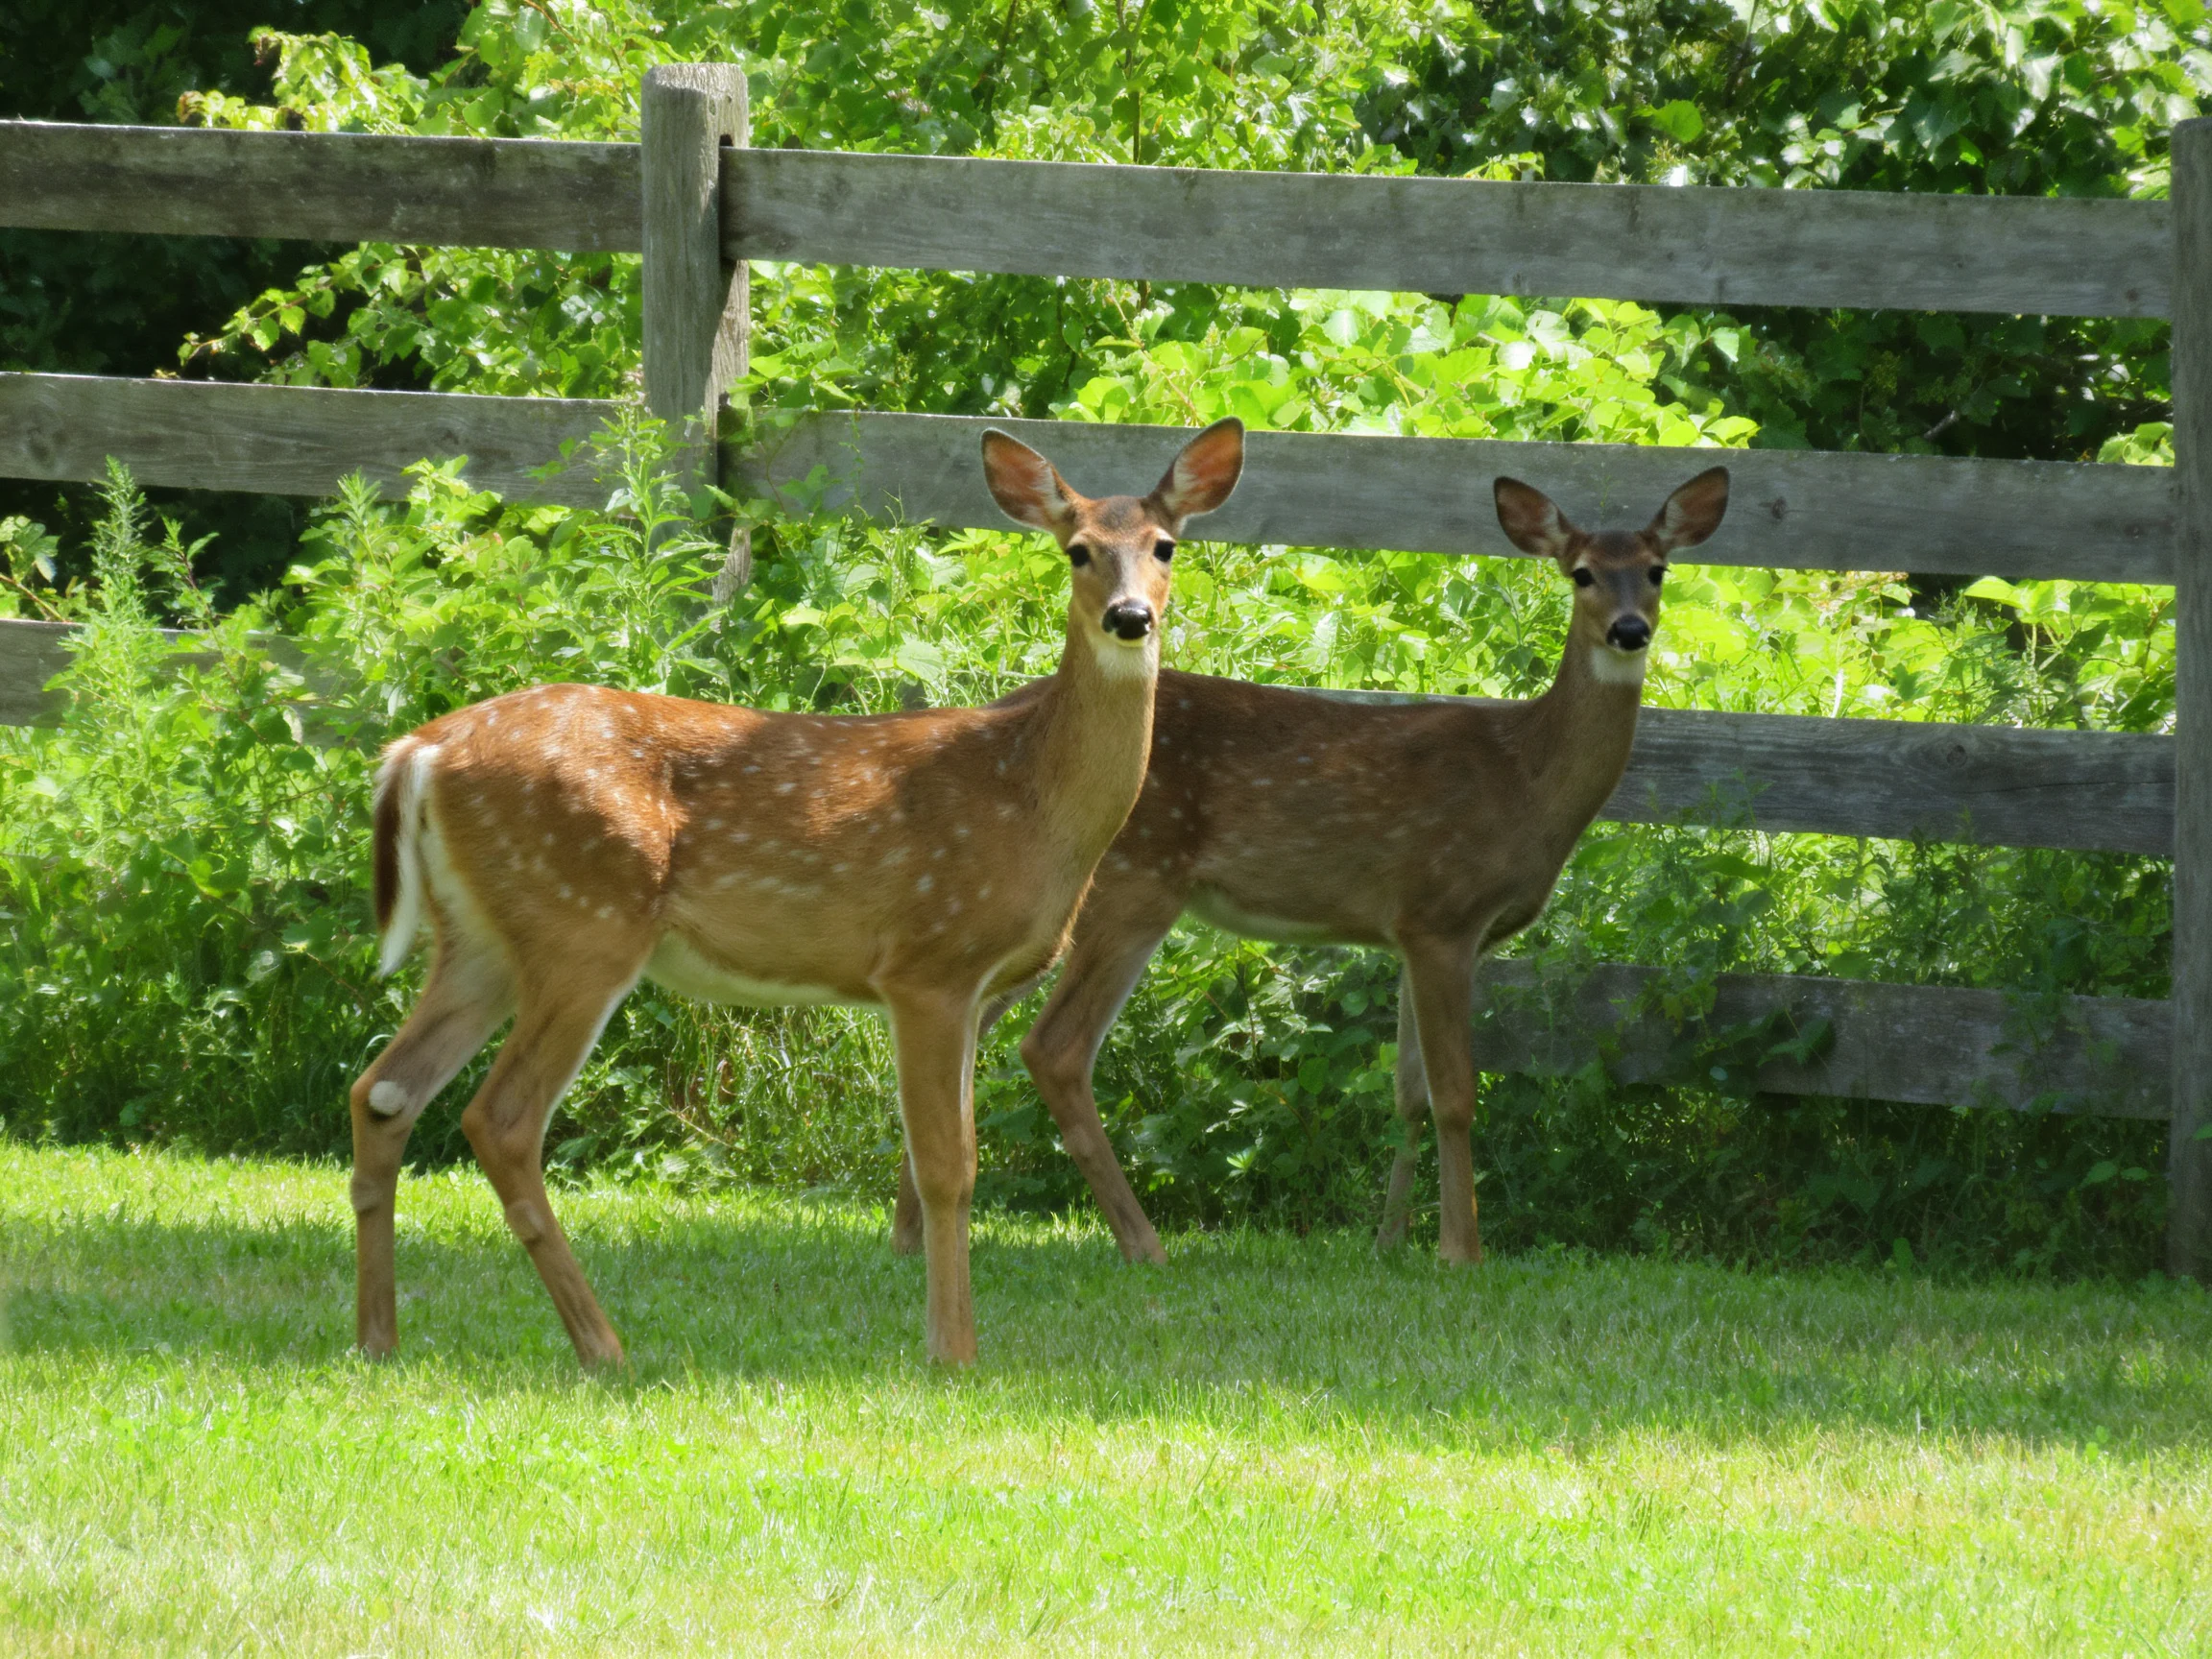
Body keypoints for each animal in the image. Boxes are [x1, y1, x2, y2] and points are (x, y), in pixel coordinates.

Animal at [346, 418, 1245, 1368]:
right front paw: (953, 1352)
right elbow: (947, 1166)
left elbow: (951, 1159)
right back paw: (604, 1348)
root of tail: (416, 752)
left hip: (480, 938)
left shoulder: (972, 985)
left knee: (383, 1091)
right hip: (581, 925)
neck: (1032, 800)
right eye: (1078, 550)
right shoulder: (929, 964)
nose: (1130, 616)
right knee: (500, 1119)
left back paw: (380, 1340)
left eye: (1165, 546)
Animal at [893, 465, 1729, 1268]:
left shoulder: (1413, 933)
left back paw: (910, 1233)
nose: (1629, 630)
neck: (1524, 777)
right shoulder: (1443, 912)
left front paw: (1390, 1243)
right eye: (1582, 573)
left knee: (965, 1033)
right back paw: (1139, 1244)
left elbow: (1409, 1093)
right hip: (1131, 888)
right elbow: (1457, 1094)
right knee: (1052, 1049)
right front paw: (1461, 1252)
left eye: (1656, 569)